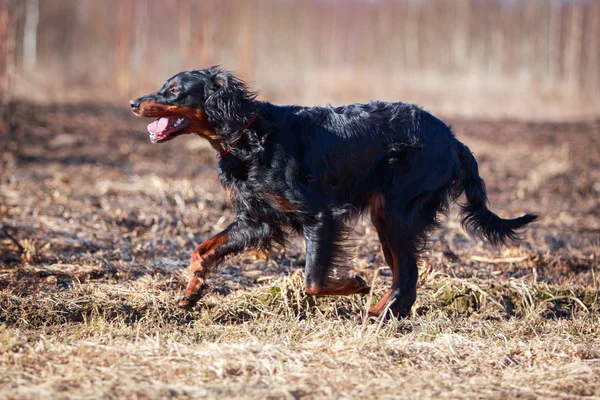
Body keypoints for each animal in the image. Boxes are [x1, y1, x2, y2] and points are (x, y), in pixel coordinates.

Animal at [129, 68, 536, 318]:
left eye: (175, 91)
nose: (134, 102)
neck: (249, 134)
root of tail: (453, 140)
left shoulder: (319, 216)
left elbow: (312, 280)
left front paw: (355, 283)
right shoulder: (256, 220)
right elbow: (202, 250)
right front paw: (192, 291)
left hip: (396, 211)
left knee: (407, 272)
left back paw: (381, 316)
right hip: (387, 216)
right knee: (403, 271)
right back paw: (382, 313)